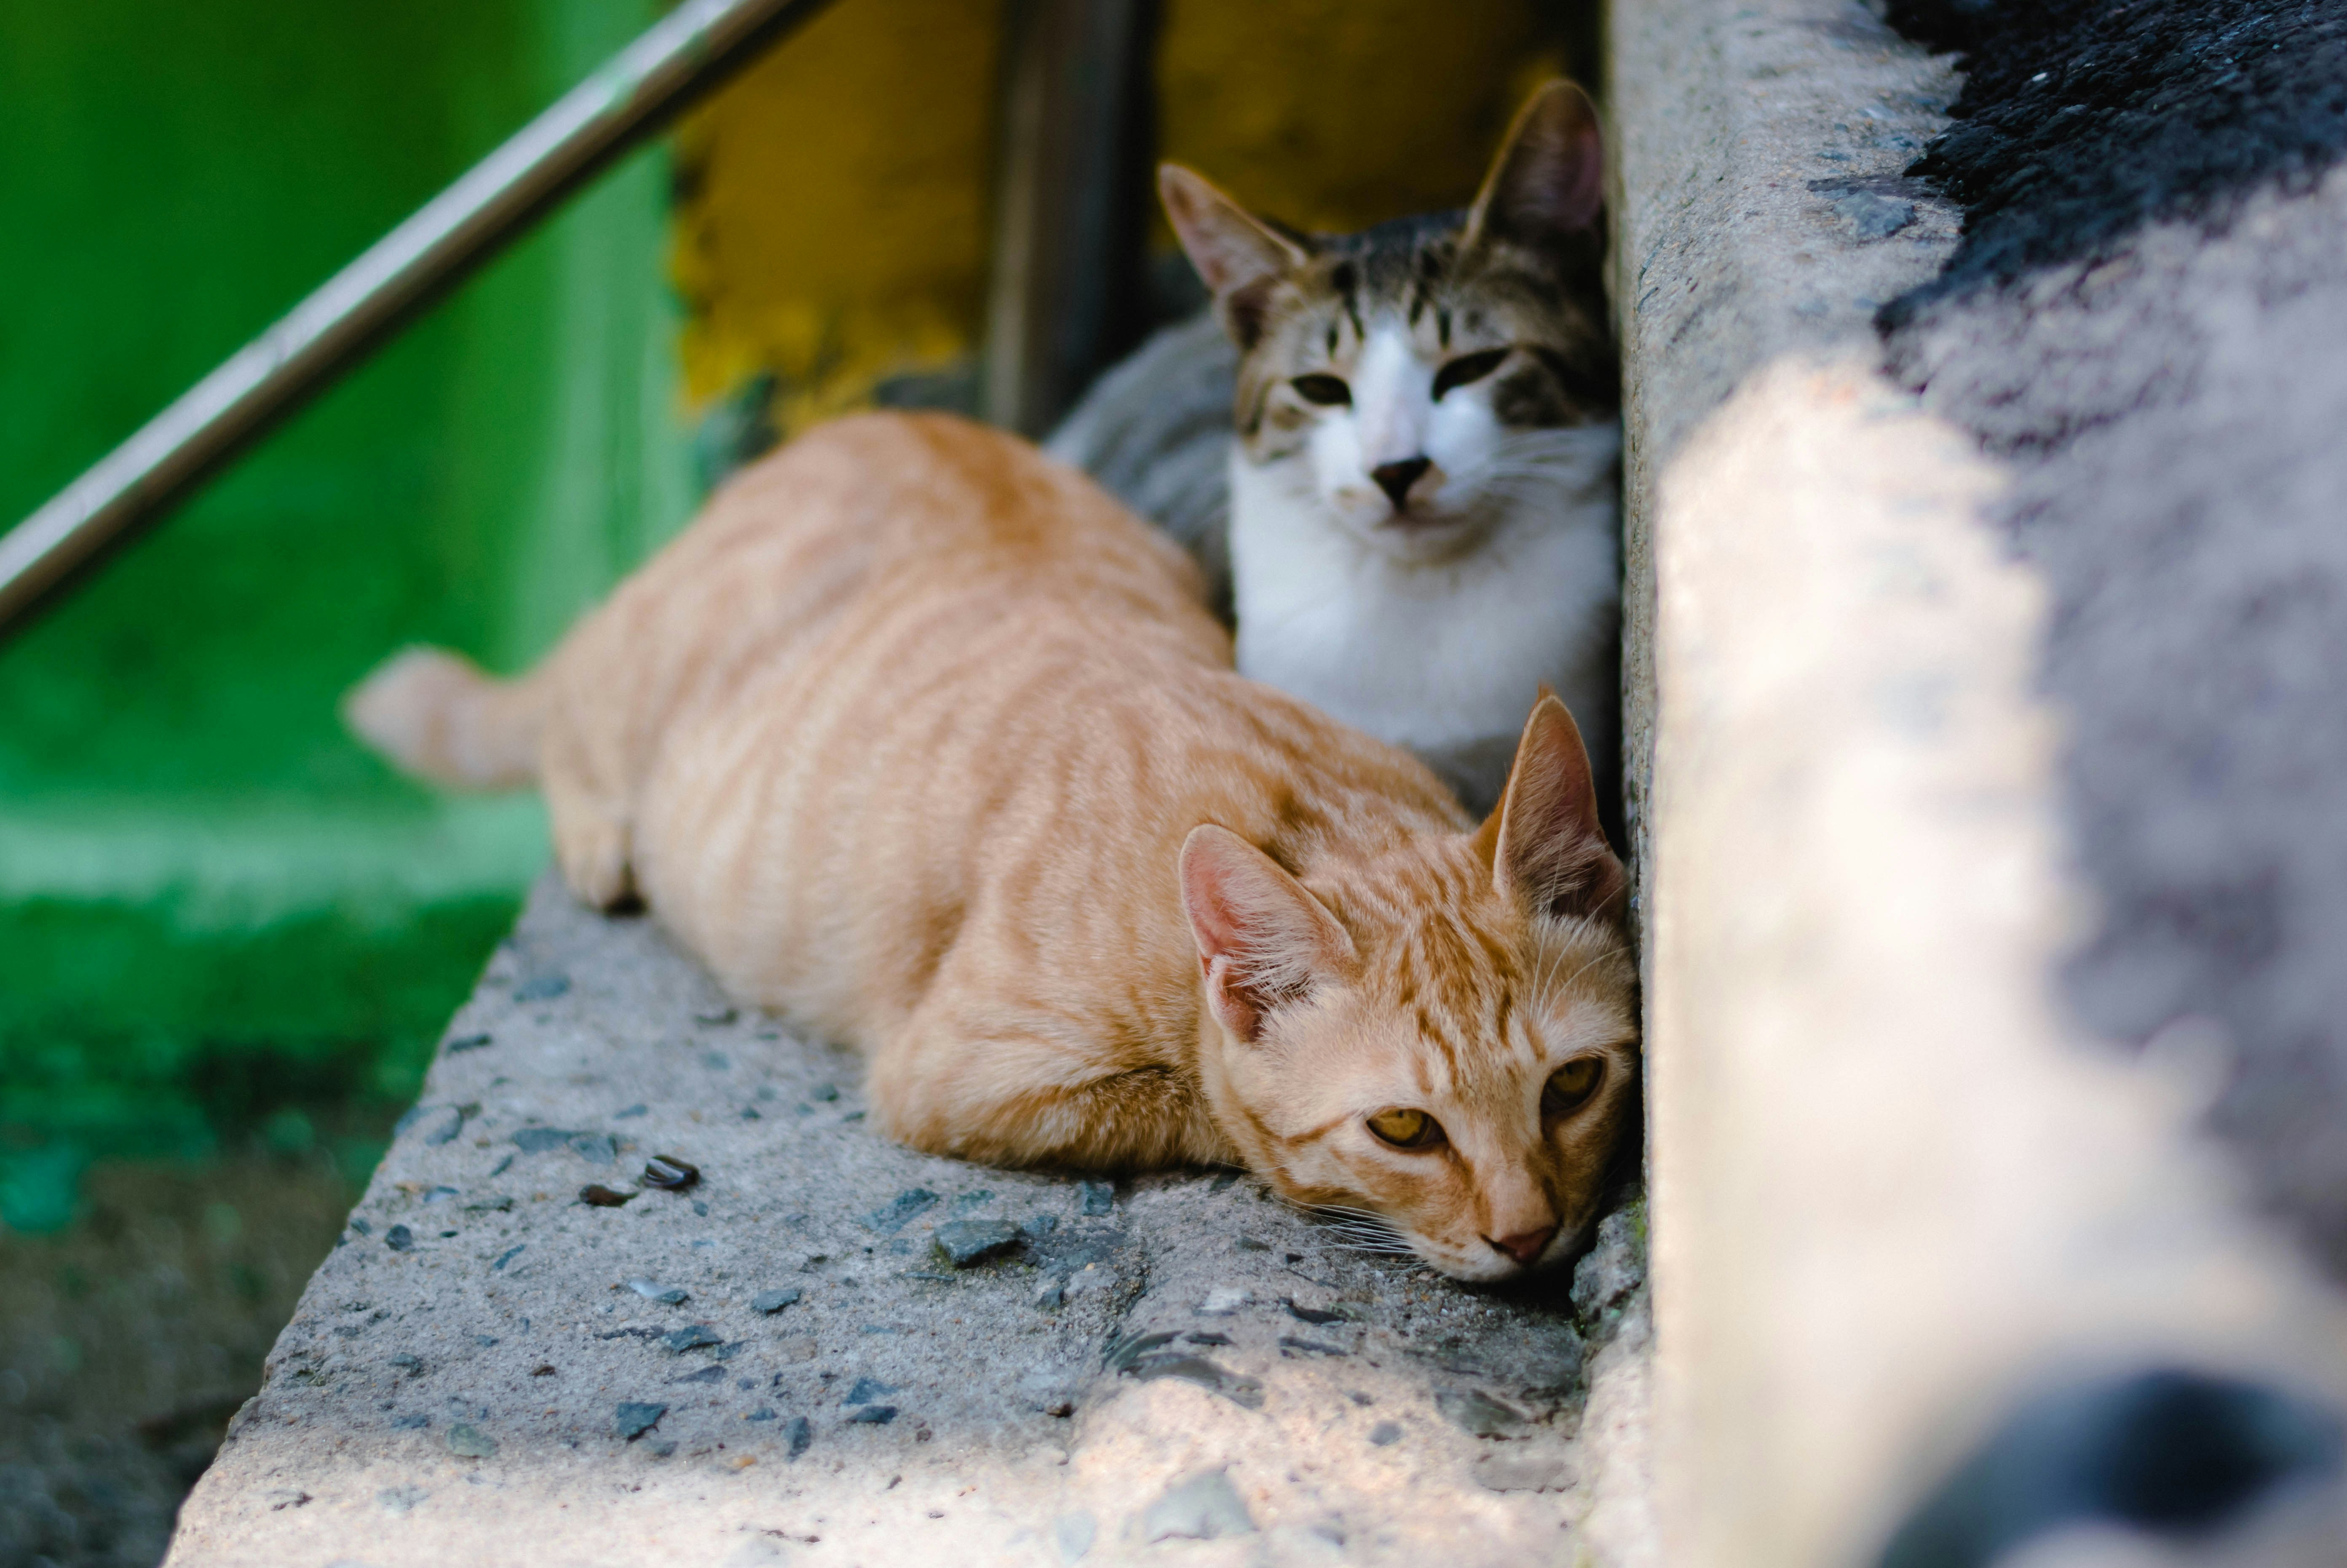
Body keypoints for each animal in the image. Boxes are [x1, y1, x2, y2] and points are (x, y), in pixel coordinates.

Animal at [347, 413, 1643, 1277]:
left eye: (1573, 1084)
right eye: (1404, 1128)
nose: (1530, 1235)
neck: (1306, 804)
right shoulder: (955, 1070)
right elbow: (1198, 1104)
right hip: (627, 686)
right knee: (564, 716)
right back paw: (595, 831)